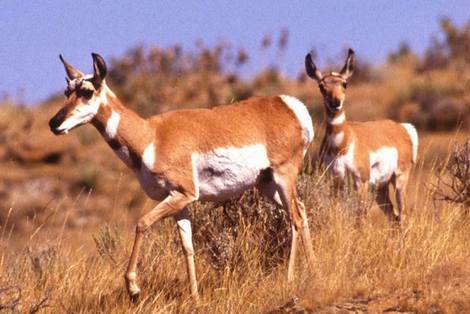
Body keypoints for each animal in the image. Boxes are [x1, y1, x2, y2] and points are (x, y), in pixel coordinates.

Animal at [48, 52, 316, 300]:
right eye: (66, 91)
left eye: (87, 91)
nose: (54, 123)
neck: (150, 136)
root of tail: (290, 106)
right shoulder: (179, 201)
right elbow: (188, 247)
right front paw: (195, 296)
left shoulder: (183, 193)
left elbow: (141, 223)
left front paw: (133, 287)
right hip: (267, 184)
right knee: (301, 211)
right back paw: (314, 269)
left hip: (283, 176)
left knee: (295, 217)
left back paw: (290, 278)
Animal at [304, 48, 418, 221]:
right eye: (321, 86)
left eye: (345, 84)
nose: (336, 102)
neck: (342, 144)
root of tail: (402, 127)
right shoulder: (336, 183)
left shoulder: (361, 182)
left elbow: (360, 217)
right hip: (380, 188)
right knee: (393, 216)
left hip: (399, 179)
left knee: (403, 214)